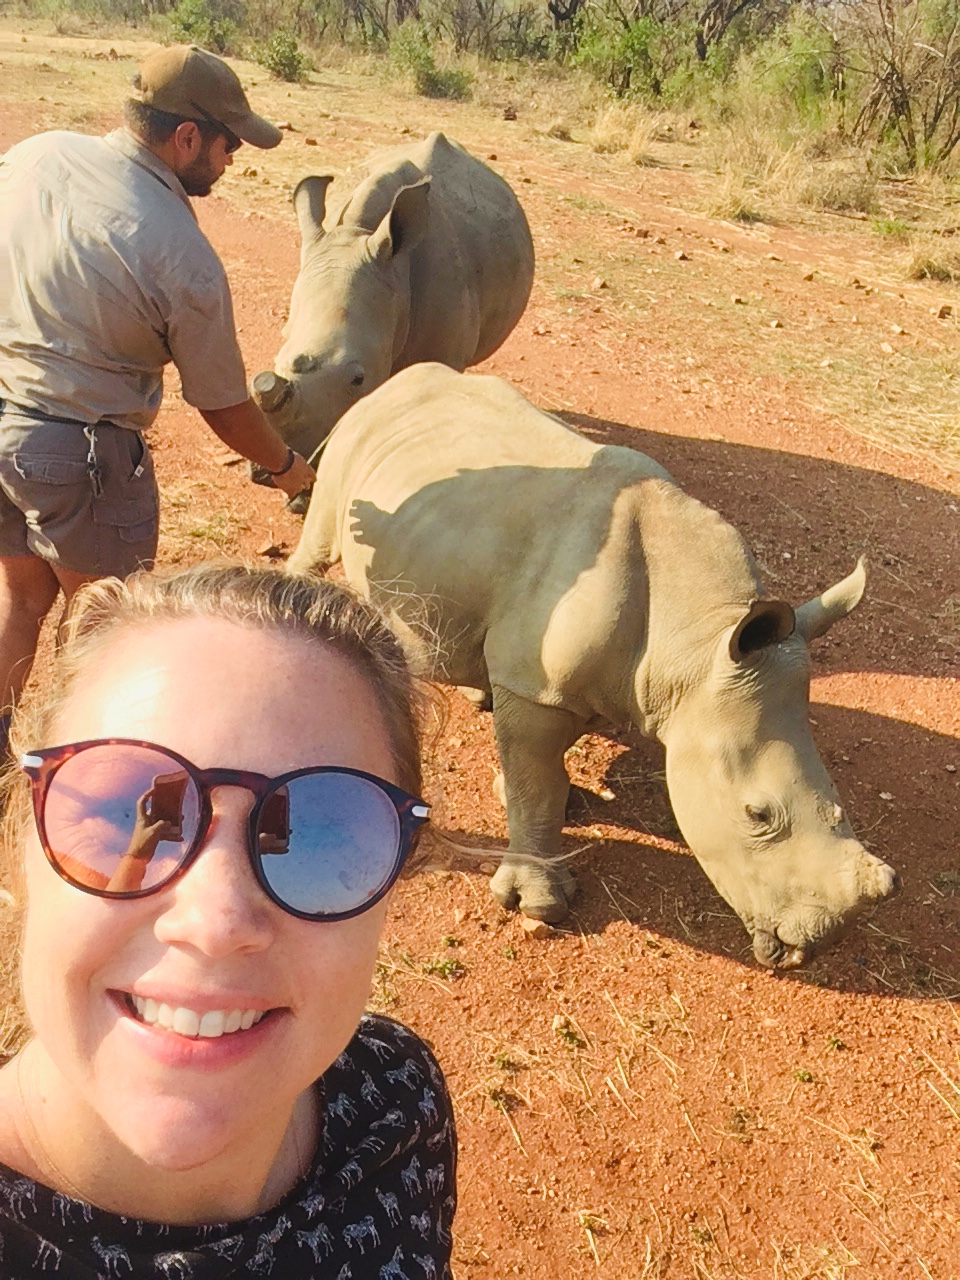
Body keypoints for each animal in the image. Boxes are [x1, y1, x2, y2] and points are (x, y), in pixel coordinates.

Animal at [288, 363, 899, 968]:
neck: (695, 639)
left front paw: (541, 798)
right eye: (757, 815)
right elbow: (537, 780)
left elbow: (545, 769)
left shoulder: (599, 683)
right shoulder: (538, 688)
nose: (811, 946)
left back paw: (476, 695)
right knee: (322, 531)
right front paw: (538, 903)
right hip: (353, 443)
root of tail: (399, 379)